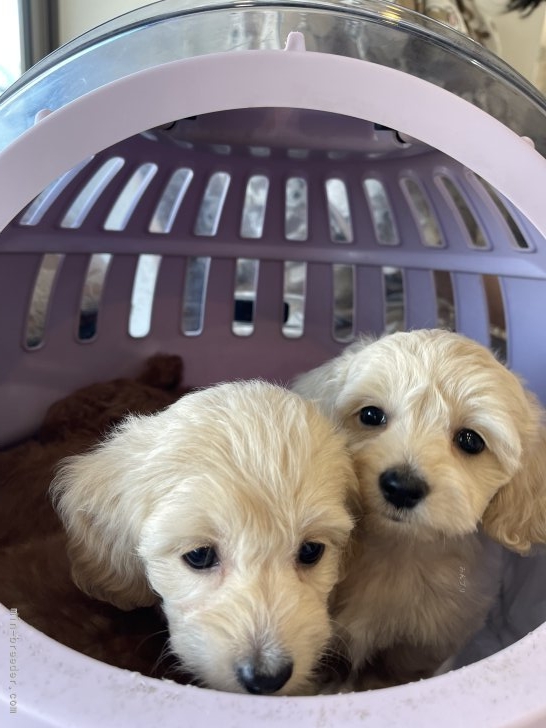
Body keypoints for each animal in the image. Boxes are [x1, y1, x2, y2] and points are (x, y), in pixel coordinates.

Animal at [292, 329, 546, 688]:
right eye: (371, 415)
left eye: (471, 440)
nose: (402, 487)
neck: (398, 547)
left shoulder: (428, 641)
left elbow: (399, 670)